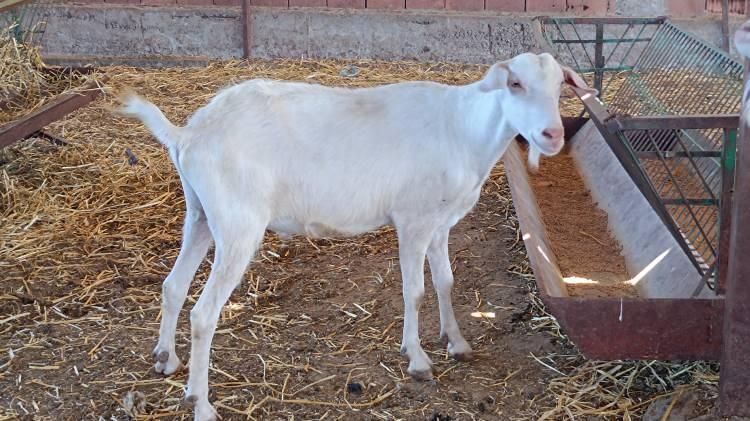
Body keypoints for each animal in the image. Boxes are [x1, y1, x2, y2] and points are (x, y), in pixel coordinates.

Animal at [117, 50, 600, 418]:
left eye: (560, 87)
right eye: (514, 83)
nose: (551, 134)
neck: (464, 130)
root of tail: (188, 133)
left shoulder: (440, 222)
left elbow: (445, 282)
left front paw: (458, 342)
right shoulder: (413, 219)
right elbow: (415, 291)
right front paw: (417, 359)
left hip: (200, 214)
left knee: (173, 286)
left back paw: (166, 360)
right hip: (238, 223)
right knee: (204, 314)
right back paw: (200, 402)